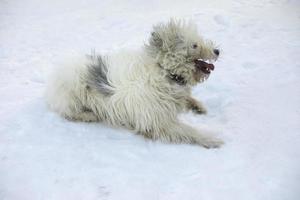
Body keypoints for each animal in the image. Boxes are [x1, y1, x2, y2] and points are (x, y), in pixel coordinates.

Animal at [46, 19, 223, 148]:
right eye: (194, 45)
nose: (217, 51)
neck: (163, 70)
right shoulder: (158, 122)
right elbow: (188, 130)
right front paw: (211, 139)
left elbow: (187, 99)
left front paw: (197, 106)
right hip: (73, 90)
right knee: (69, 113)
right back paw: (89, 115)